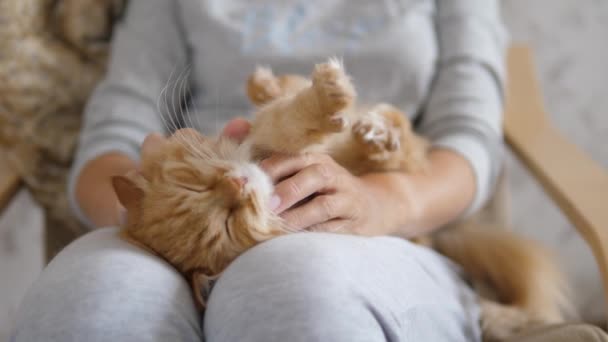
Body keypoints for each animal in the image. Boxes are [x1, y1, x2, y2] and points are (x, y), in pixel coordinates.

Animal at [113, 58, 568, 340]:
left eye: (195, 185)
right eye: (227, 223)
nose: (237, 185)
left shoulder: (269, 140)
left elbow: (287, 118)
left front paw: (326, 94)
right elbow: (298, 121)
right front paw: (331, 99)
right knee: (396, 143)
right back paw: (375, 134)